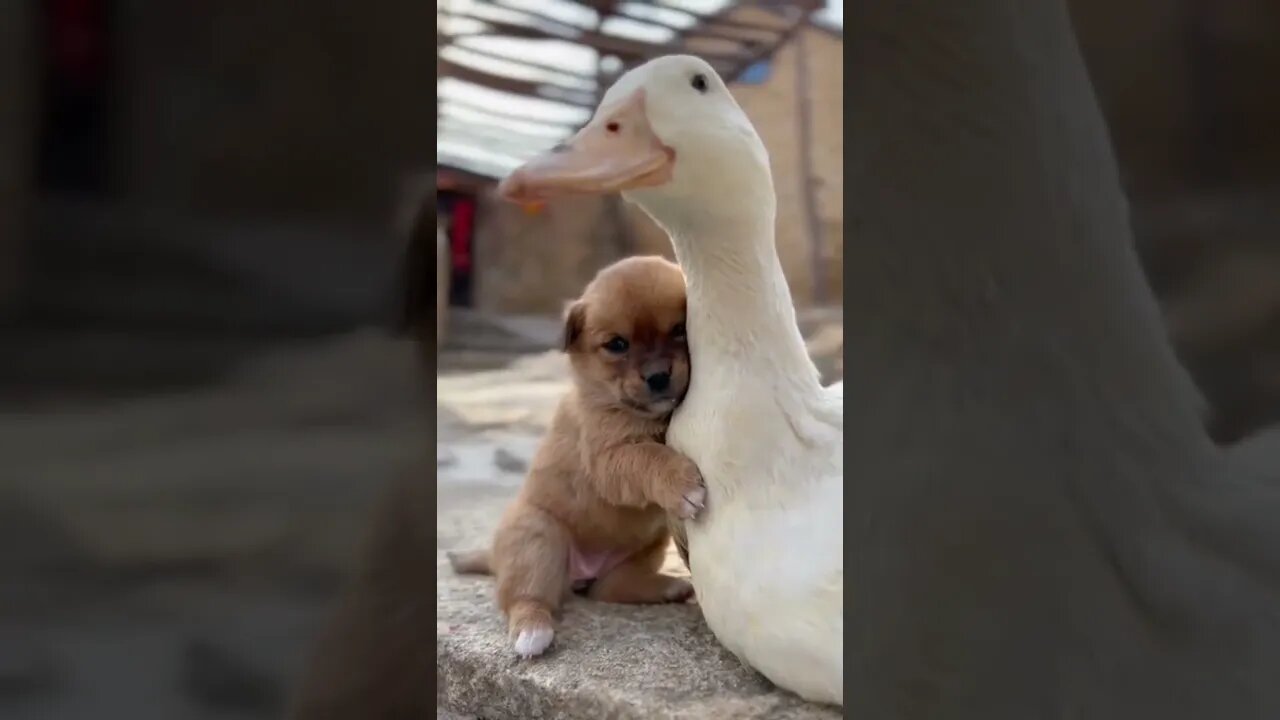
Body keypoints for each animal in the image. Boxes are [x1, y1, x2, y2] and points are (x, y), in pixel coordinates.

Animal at [448, 252, 706, 655]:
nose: (658, 377)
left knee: (609, 588)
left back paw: (669, 586)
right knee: (525, 597)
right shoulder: (608, 459)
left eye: (679, 329)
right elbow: (650, 456)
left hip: (647, 547)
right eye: (617, 345)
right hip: (539, 538)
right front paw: (681, 484)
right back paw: (532, 631)